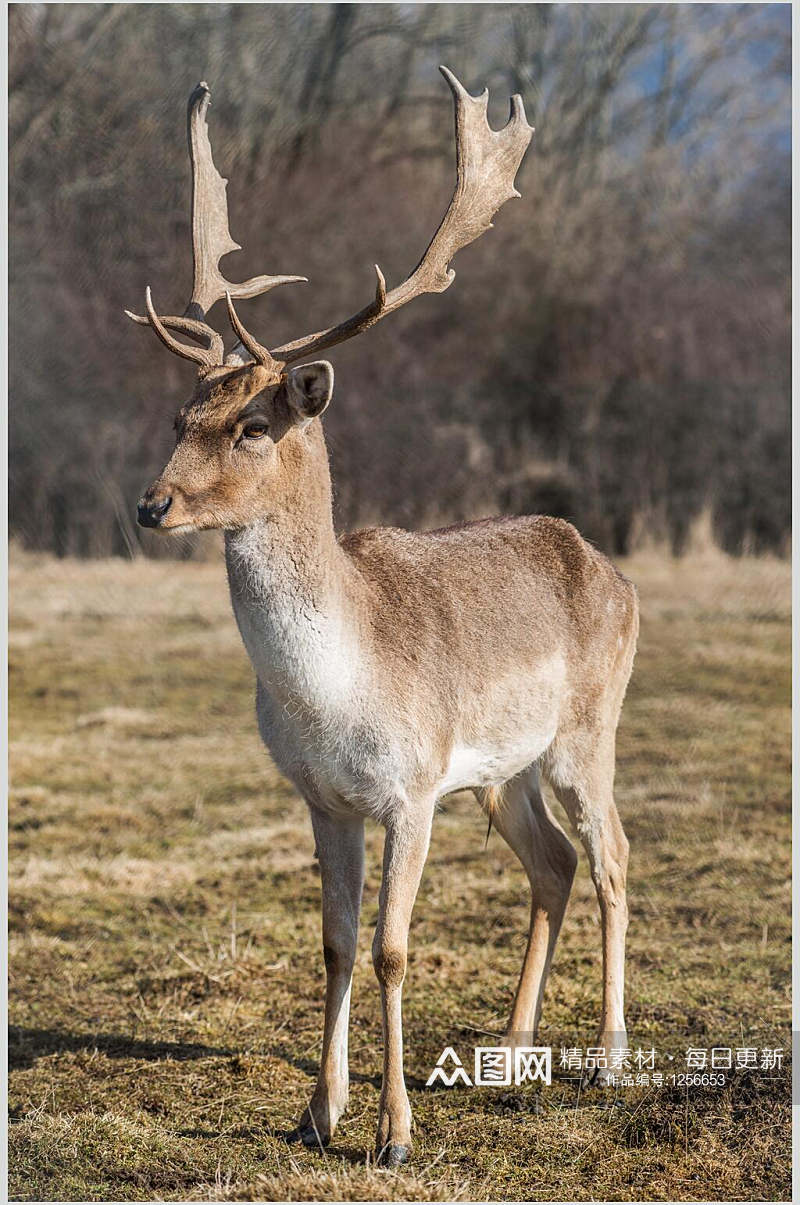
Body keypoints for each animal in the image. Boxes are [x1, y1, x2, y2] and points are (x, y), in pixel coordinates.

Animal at [126, 70, 636, 1161]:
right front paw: (318, 1113)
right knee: (553, 862)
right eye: (180, 415)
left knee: (611, 856)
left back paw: (610, 1059)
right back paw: (511, 1050)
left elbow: (393, 947)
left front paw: (393, 1130)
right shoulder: (323, 797)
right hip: (499, 769)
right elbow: (330, 943)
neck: (337, 690)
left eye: (254, 423)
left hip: (587, 728)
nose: (152, 504)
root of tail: (609, 568)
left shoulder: (409, 789)